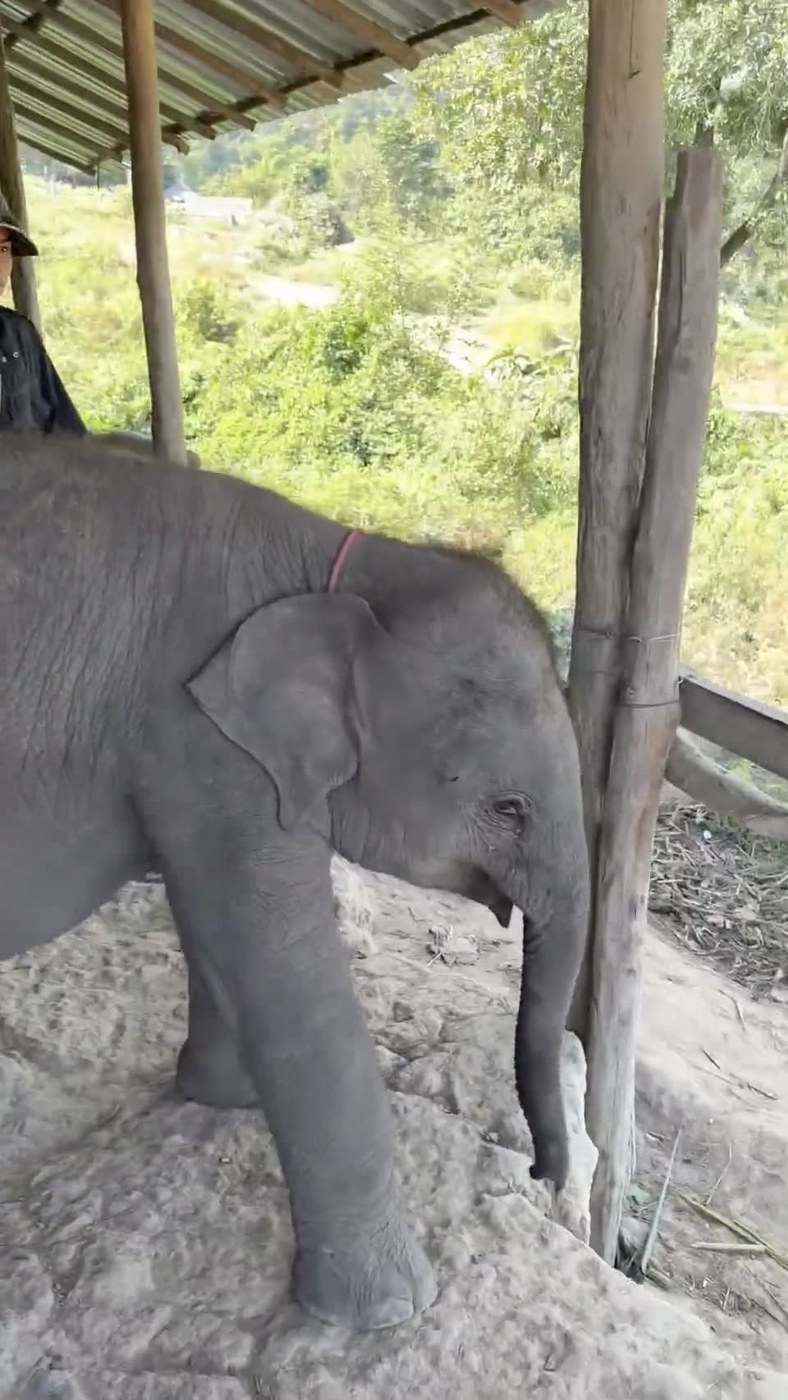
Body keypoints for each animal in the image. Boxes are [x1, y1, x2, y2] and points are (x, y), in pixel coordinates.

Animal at [0, 433, 590, 1331]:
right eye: (508, 808)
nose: (537, 1177)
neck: (341, 562)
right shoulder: (204, 741)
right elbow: (290, 981)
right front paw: (390, 1312)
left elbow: (216, 929)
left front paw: (222, 1095)